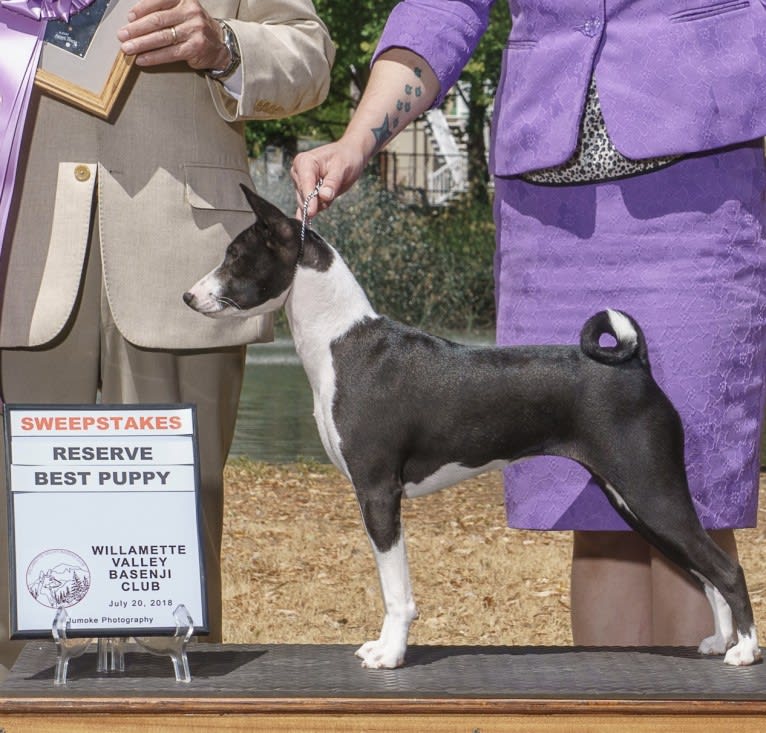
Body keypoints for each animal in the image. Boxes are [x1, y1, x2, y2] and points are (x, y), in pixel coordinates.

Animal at [184, 189, 760, 668]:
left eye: (234, 256)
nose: (189, 297)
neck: (340, 344)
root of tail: (637, 364)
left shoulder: (378, 493)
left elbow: (396, 591)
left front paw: (390, 654)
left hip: (650, 489)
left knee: (725, 568)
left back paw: (745, 651)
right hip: (632, 500)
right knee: (704, 570)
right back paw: (718, 641)